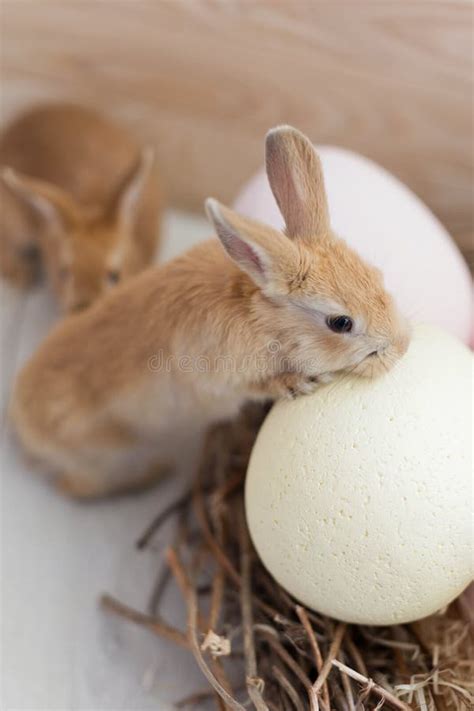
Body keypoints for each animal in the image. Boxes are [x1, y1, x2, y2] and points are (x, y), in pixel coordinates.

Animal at [12, 124, 412, 500]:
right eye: (340, 323)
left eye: (376, 274)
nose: (401, 347)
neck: (261, 317)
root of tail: (20, 420)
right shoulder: (219, 378)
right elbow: (255, 384)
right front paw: (298, 382)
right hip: (106, 454)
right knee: (77, 487)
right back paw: (154, 473)